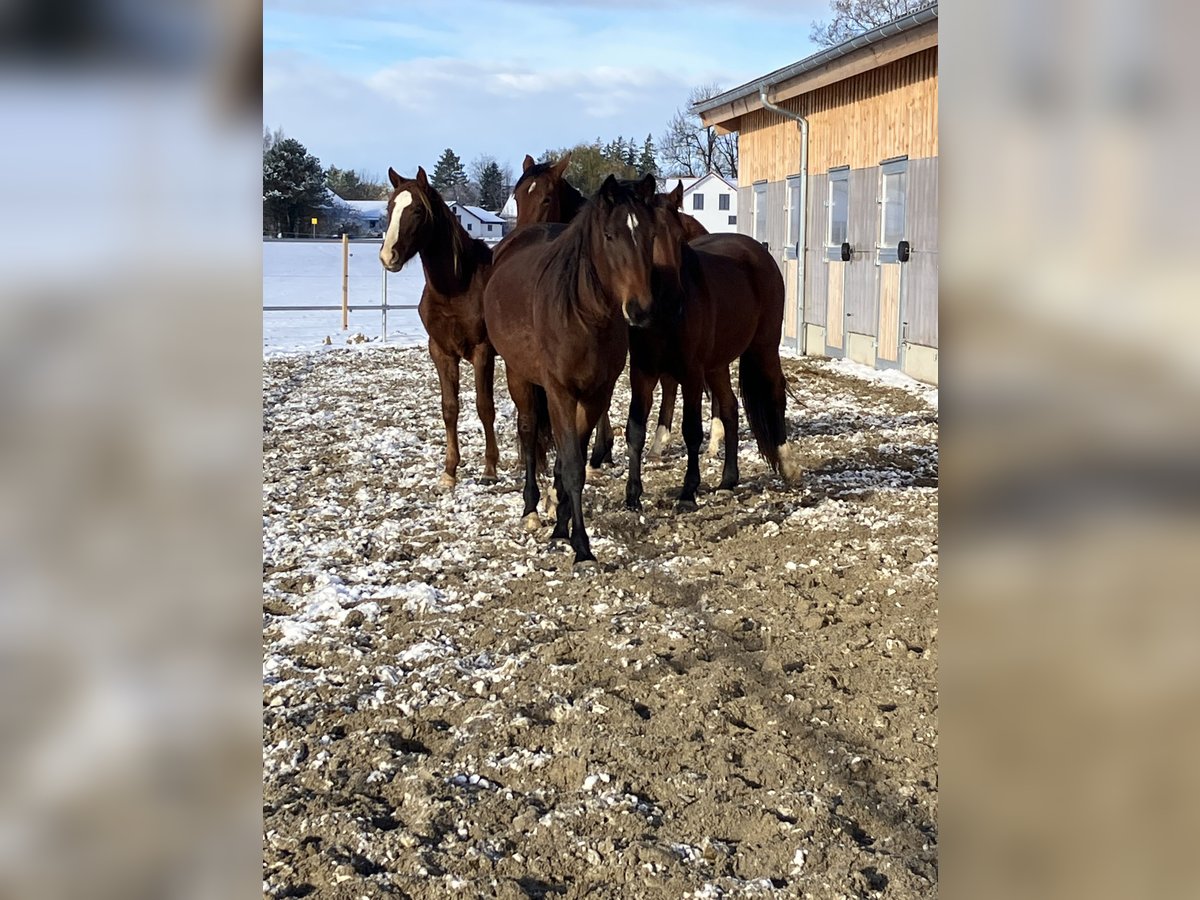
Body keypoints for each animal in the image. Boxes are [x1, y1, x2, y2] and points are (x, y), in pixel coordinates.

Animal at [379, 169, 501, 494]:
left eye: (418, 211)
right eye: (390, 208)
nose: (388, 257)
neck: (455, 287)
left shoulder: (483, 352)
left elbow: (485, 406)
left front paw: (490, 469)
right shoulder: (441, 351)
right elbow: (449, 408)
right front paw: (449, 471)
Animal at [482, 174, 662, 564]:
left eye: (651, 235)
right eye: (609, 235)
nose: (640, 310)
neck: (584, 316)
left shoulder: (596, 394)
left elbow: (569, 464)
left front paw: (563, 526)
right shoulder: (560, 392)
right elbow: (573, 467)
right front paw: (581, 545)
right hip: (520, 377)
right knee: (528, 434)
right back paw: (530, 509)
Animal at [624, 181, 801, 513]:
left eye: (679, 238)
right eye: (645, 237)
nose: (674, 297)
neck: (663, 318)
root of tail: (759, 253)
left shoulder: (691, 374)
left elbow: (692, 431)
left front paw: (688, 492)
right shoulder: (642, 373)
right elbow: (635, 431)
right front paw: (632, 495)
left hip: (763, 348)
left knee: (775, 392)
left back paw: (787, 465)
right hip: (717, 365)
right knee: (730, 407)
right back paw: (728, 480)